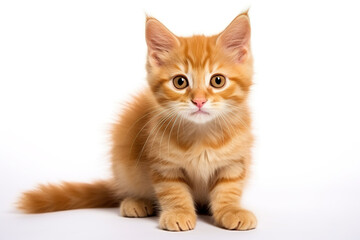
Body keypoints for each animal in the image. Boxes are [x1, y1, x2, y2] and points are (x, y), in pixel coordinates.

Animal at [18, 10, 256, 231]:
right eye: (180, 82)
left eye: (218, 81)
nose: (199, 101)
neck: (202, 134)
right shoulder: (163, 165)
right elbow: (173, 190)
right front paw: (178, 212)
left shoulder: (234, 162)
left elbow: (229, 189)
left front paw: (231, 210)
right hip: (124, 167)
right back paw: (136, 202)